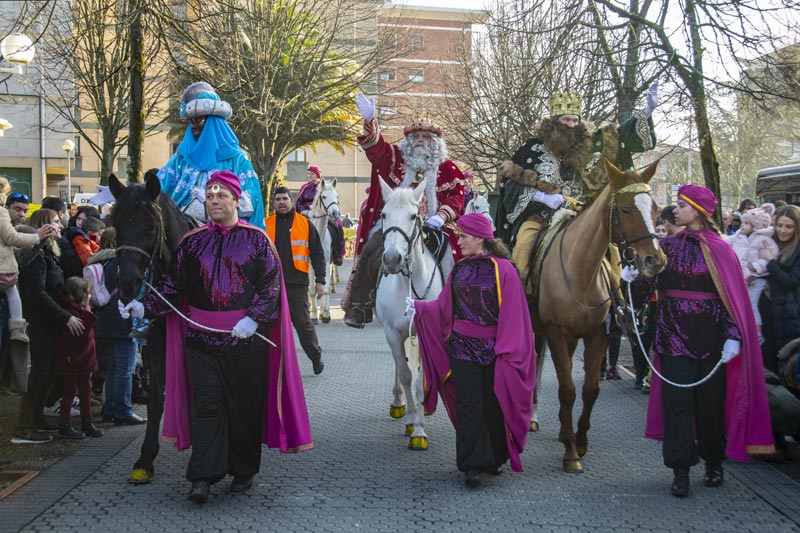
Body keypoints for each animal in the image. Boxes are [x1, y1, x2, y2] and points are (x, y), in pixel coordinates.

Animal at [108, 169, 195, 482]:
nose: (127, 284)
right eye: (116, 225)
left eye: (149, 227)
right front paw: (146, 458)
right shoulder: (157, 340)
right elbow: (157, 396)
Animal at [374, 178, 454, 448]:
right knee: (400, 365)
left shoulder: (426, 333)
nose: (392, 259)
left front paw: (419, 429)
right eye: (384, 214)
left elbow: (421, 378)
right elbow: (407, 374)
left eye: (412, 216)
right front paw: (411, 421)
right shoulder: (392, 332)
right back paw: (399, 403)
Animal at [528, 157, 664, 470]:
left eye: (655, 209)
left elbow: (589, 389)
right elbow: (567, 389)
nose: (655, 260)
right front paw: (571, 454)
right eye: (625, 209)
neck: (579, 270)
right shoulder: (555, 331)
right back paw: (532, 417)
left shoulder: (596, 334)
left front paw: (579, 440)